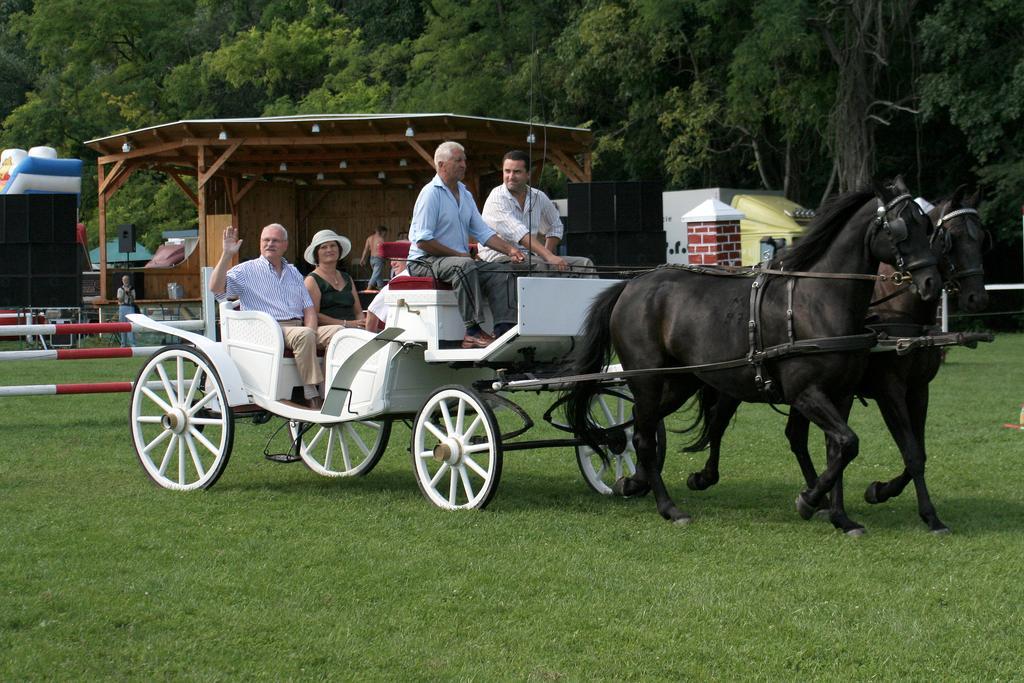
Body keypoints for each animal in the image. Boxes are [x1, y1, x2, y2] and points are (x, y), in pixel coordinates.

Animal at [565, 178, 937, 528]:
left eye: (927, 225)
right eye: (901, 226)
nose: (931, 282)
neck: (817, 301)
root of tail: (631, 285)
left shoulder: (842, 394)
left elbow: (840, 449)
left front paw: (840, 517)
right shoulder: (807, 393)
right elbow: (848, 444)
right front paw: (810, 501)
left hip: (679, 381)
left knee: (644, 427)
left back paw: (634, 482)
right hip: (647, 379)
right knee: (642, 438)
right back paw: (669, 507)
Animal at [684, 187, 987, 532]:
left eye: (981, 237)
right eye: (950, 238)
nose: (977, 297)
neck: (899, 315)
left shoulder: (918, 390)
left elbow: (917, 454)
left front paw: (891, 497)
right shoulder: (889, 391)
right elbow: (909, 452)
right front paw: (897, 501)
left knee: (795, 437)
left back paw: (819, 499)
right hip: (736, 384)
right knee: (718, 423)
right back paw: (705, 477)